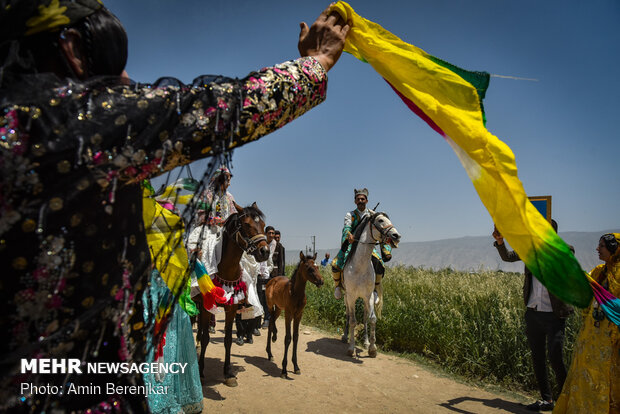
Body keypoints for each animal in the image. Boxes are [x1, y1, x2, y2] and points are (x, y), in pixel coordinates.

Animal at [194, 202, 268, 386]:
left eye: (263, 225)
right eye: (247, 225)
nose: (265, 251)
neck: (225, 269)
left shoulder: (232, 307)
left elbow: (228, 340)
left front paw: (228, 372)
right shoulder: (207, 307)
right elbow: (206, 338)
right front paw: (200, 370)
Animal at [340, 212, 402, 358]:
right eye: (380, 220)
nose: (396, 236)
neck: (360, 266)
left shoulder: (369, 296)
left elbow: (372, 319)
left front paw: (372, 348)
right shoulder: (351, 296)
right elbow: (352, 320)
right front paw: (351, 348)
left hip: (365, 299)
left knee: (365, 317)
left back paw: (366, 342)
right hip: (347, 297)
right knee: (348, 315)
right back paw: (345, 337)